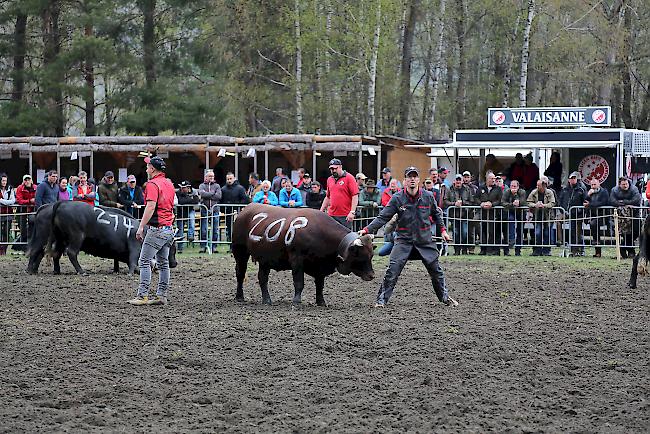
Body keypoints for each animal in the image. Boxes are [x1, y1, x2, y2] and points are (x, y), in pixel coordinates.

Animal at [27, 201, 176, 274]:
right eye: (172, 248)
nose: (174, 263)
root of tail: (61, 203)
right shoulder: (135, 245)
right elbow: (133, 260)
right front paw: (133, 271)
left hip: (59, 238)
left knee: (51, 253)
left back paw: (47, 271)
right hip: (75, 237)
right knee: (70, 253)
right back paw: (81, 271)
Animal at [232, 203, 374, 306]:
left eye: (371, 255)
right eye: (360, 255)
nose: (371, 275)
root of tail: (246, 209)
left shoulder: (319, 265)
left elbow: (320, 285)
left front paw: (321, 302)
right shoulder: (297, 260)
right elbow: (299, 282)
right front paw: (296, 301)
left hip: (264, 259)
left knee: (262, 278)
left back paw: (267, 300)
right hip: (240, 252)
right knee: (240, 274)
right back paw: (239, 297)